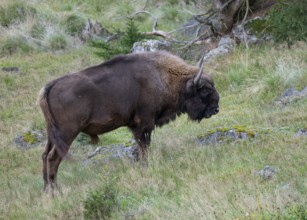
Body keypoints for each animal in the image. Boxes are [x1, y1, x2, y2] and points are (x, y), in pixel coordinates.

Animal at [38, 50, 220, 192]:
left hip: (52, 134)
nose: (216, 109)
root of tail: (50, 86)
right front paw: (145, 167)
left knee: (45, 155)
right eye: (205, 90)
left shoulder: (136, 127)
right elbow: (144, 147)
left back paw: (47, 189)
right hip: (67, 133)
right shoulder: (144, 125)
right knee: (53, 158)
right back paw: (55, 191)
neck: (161, 75)